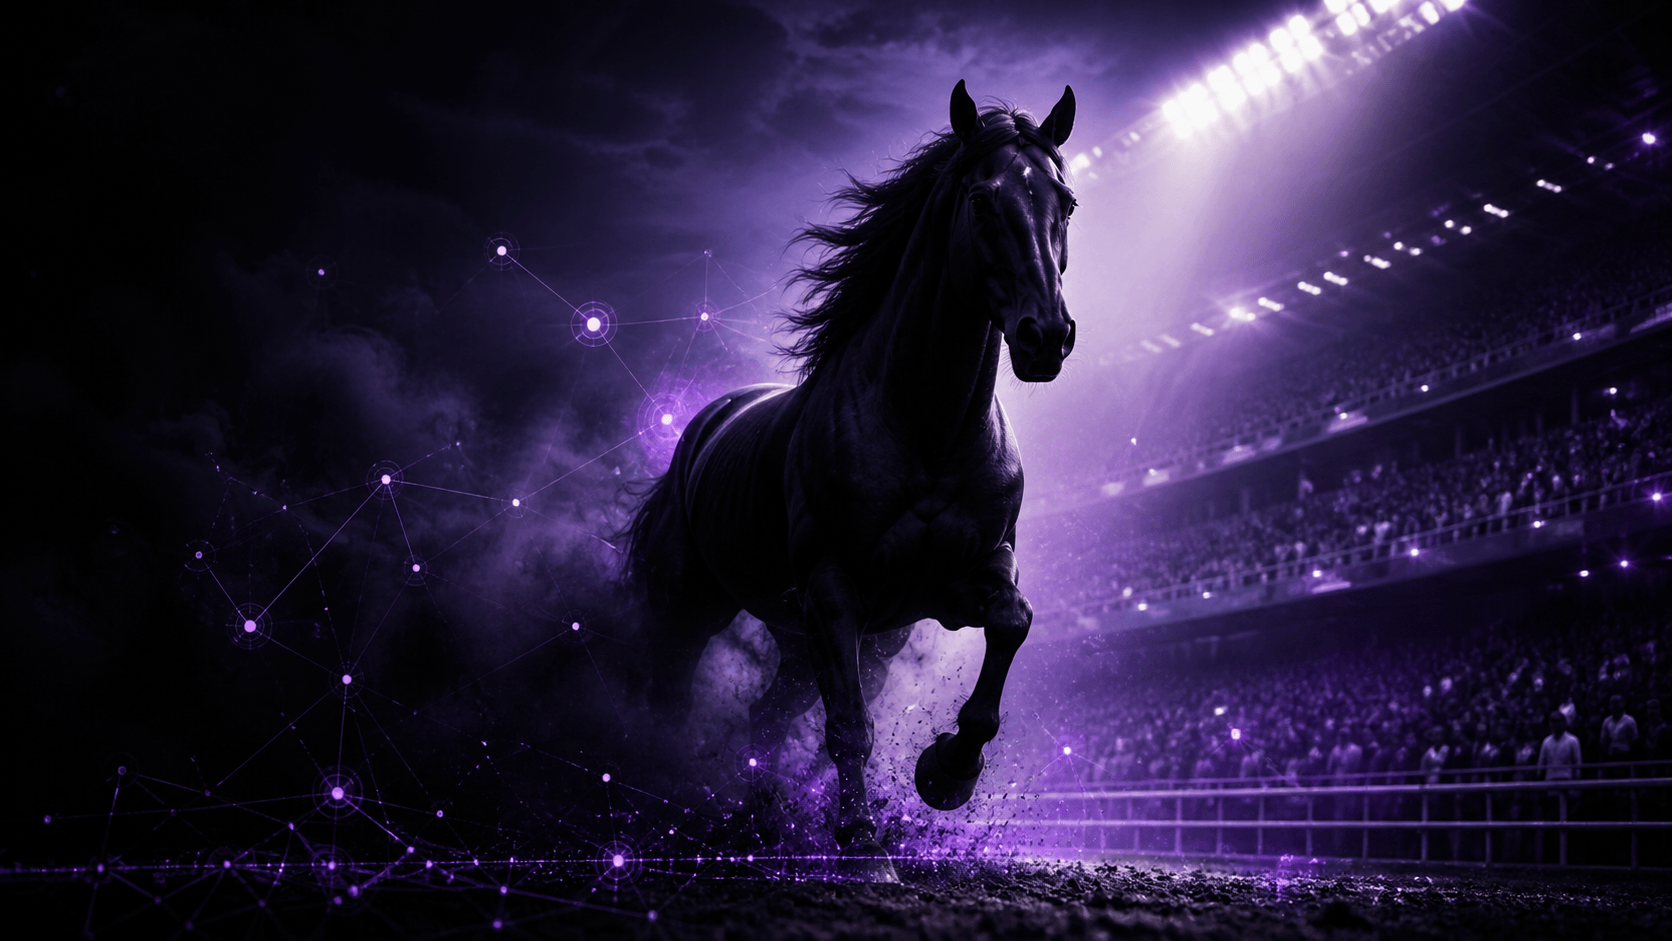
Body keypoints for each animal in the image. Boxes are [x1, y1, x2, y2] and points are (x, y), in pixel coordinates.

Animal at [625, 80, 1077, 882]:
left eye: (1068, 203)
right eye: (982, 200)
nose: (1045, 337)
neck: (926, 427)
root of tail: (705, 427)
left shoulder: (963, 579)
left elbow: (1010, 624)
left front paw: (946, 773)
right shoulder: (834, 589)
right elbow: (849, 727)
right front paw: (865, 848)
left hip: (801, 639)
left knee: (765, 717)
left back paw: (756, 816)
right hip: (694, 605)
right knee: (673, 691)